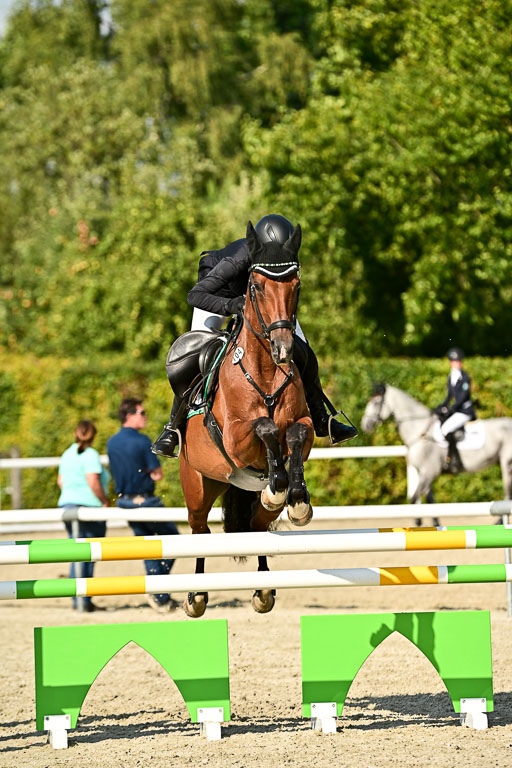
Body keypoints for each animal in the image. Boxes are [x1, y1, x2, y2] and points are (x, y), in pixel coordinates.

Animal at [178, 222, 314, 618]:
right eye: (256, 287)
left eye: (296, 286)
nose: (284, 349)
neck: (266, 370)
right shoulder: (236, 440)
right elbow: (264, 427)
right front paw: (279, 483)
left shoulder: (306, 424)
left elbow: (295, 435)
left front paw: (295, 498)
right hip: (198, 484)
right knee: (199, 533)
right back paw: (196, 597)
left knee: (256, 526)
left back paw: (264, 590)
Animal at [361, 383, 512, 512]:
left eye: (375, 403)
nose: (365, 425)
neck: (419, 430)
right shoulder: (424, 473)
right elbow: (429, 503)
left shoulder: (429, 472)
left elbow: (414, 500)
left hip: (507, 465)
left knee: (507, 496)